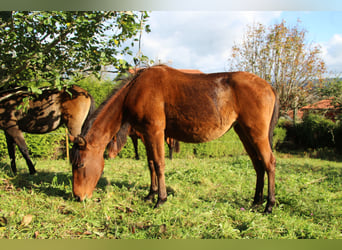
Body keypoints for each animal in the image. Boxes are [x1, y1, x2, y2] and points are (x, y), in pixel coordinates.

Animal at [71, 65, 280, 213]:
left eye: (80, 165)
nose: (77, 197)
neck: (136, 89)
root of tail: (269, 86)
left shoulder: (155, 131)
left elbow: (159, 164)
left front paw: (160, 200)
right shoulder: (147, 134)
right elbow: (150, 164)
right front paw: (150, 194)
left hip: (257, 134)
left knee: (269, 163)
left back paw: (269, 205)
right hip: (244, 133)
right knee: (258, 165)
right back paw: (256, 202)